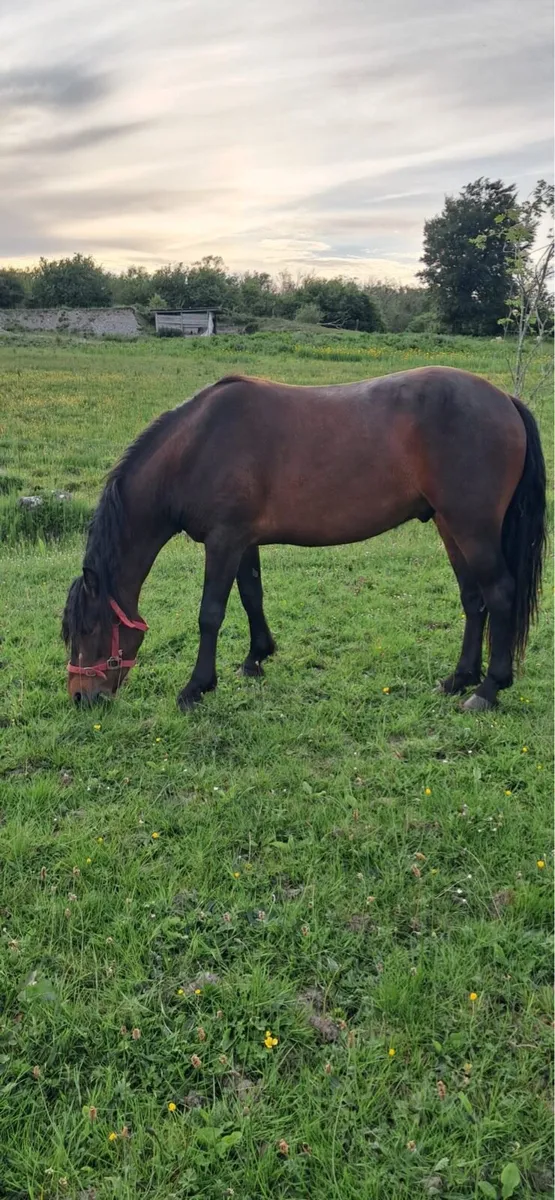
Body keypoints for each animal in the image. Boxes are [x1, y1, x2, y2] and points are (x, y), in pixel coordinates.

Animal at [62, 366, 546, 714]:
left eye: (89, 629)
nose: (82, 697)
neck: (197, 446)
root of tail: (505, 400)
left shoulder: (223, 540)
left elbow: (210, 614)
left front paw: (197, 687)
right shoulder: (243, 541)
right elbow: (252, 596)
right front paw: (256, 659)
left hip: (472, 528)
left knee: (500, 594)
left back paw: (488, 689)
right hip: (450, 526)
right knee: (474, 599)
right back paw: (459, 678)